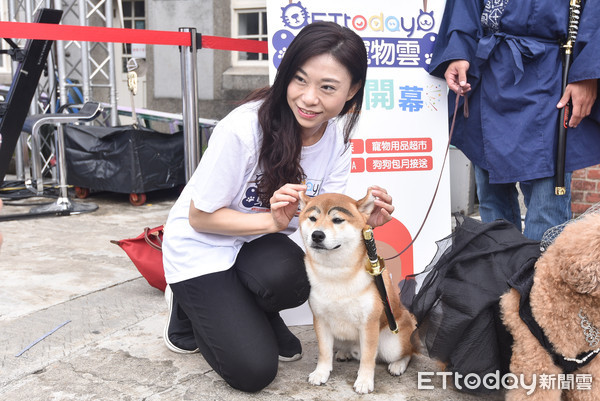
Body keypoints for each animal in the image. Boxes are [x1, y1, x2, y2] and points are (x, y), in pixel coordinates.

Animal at [298, 189, 414, 392]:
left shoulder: (369, 323)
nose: (317, 235)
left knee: (409, 352)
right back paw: (343, 353)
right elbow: (324, 352)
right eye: (312, 218)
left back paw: (398, 365)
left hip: (393, 342)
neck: (336, 273)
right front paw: (321, 373)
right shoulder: (320, 319)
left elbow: (368, 357)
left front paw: (364, 381)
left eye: (337, 220)